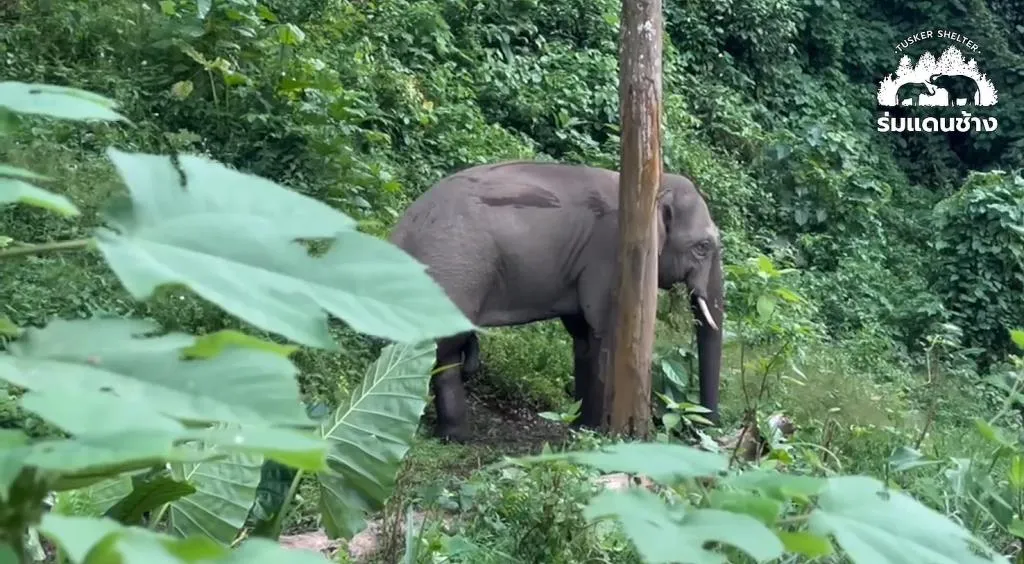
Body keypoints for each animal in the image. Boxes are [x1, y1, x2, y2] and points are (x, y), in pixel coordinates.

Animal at [385, 160, 729, 444]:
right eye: (702, 247)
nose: (707, 432)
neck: (655, 184)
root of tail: (400, 231)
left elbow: (584, 338)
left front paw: (582, 429)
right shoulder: (609, 255)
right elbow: (604, 331)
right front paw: (599, 435)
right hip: (452, 272)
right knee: (437, 349)